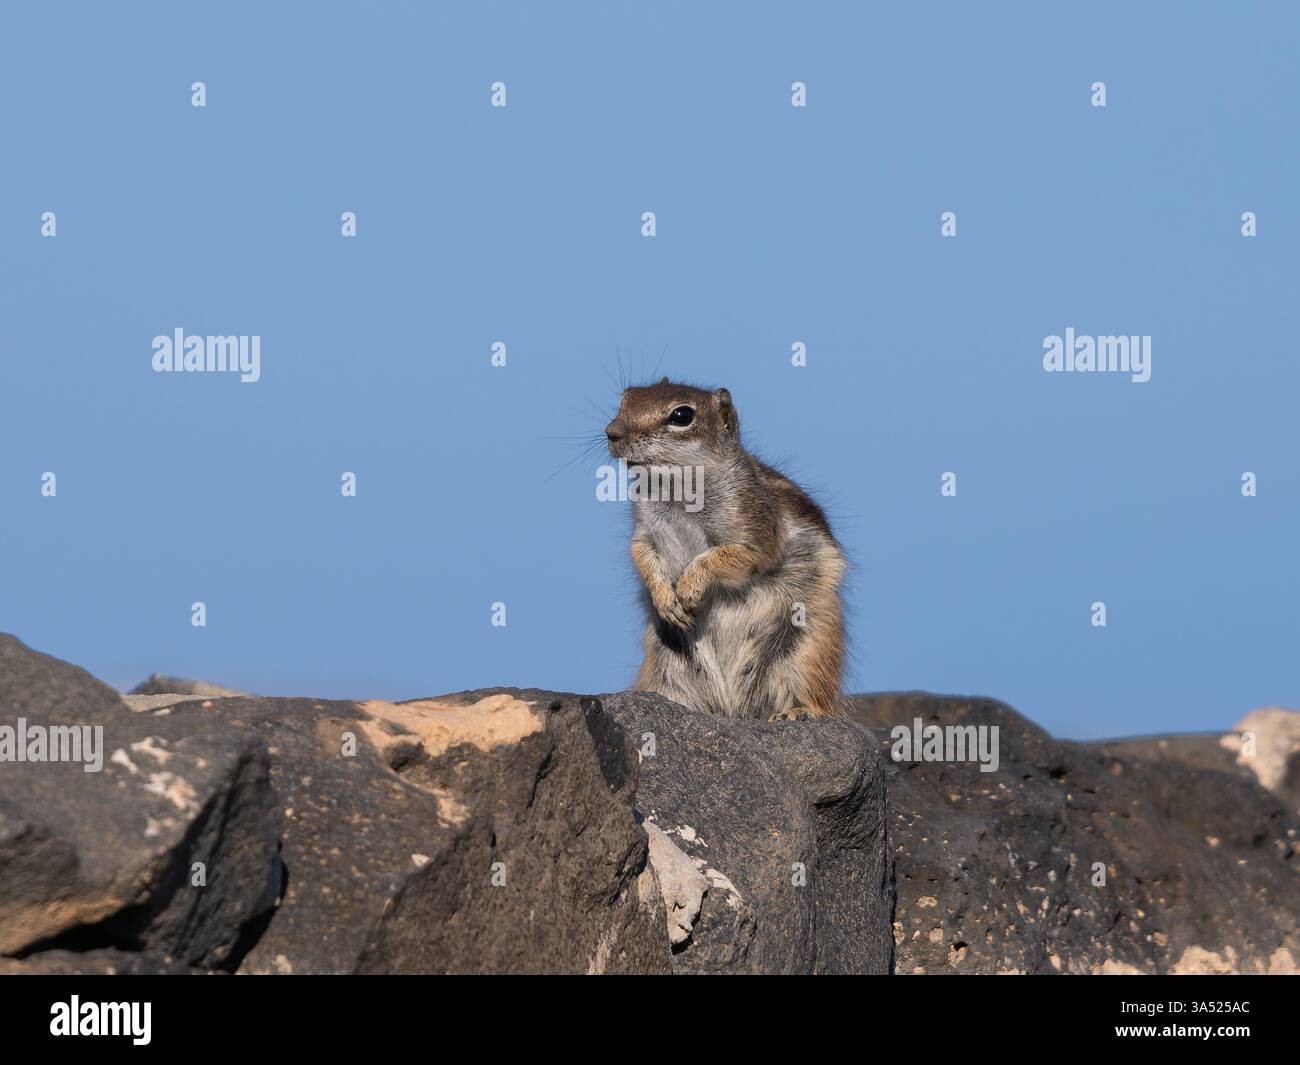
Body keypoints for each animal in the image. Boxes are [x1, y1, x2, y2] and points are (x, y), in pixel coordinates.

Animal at [605, 378, 847, 721]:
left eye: (682, 415)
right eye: (625, 400)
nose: (612, 433)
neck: (676, 492)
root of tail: (732, 709)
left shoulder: (755, 535)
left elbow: (723, 558)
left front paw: (690, 587)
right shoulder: (644, 534)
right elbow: (642, 557)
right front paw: (665, 599)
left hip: (809, 647)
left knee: (818, 695)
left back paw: (798, 711)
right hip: (664, 660)